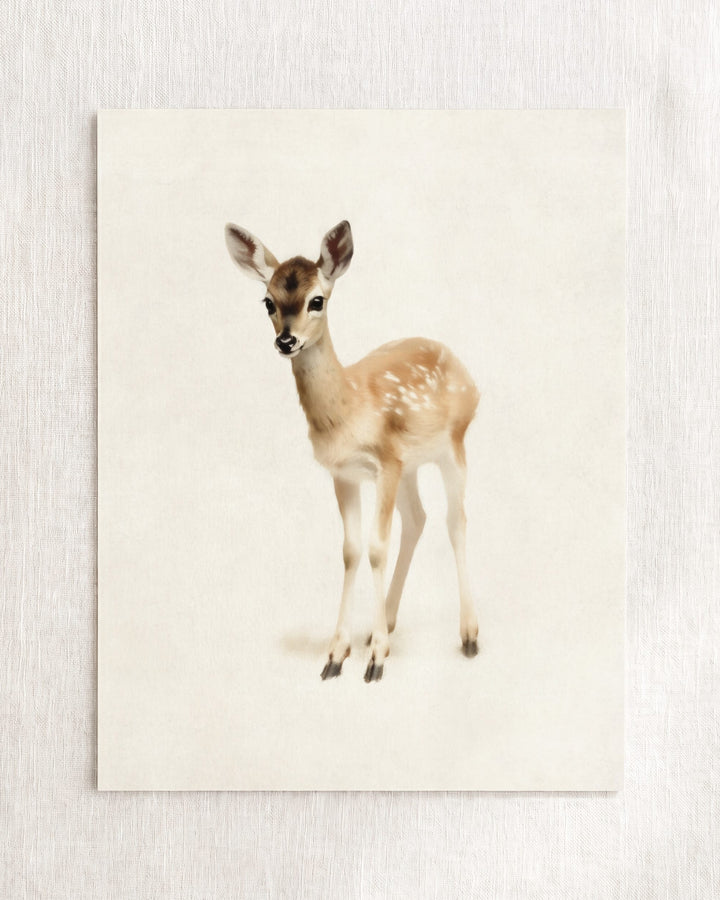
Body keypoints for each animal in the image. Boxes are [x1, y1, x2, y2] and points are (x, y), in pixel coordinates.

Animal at [225, 220, 480, 682]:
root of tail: (466, 371)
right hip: (411, 465)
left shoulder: (385, 462)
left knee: (455, 519)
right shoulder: (345, 473)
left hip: (452, 443)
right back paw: (387, 623)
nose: (286, 341)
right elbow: (352, 551)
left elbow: (377, 548)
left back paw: (468, 635)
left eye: (317, 300)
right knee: (418, 518)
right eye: (268, 301)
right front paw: (337, 653)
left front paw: (376, 660)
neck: (349, 411)